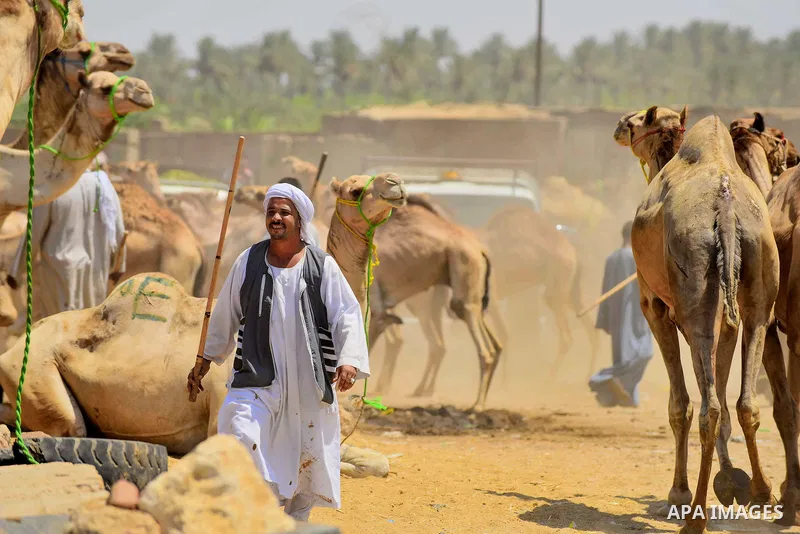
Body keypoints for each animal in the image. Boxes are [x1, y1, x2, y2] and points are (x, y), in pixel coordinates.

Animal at [620, 106, 800, 531]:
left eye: (635, 122)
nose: (619, 126)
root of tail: (726, 206)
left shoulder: (654, 306)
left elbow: (680, 404)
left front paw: (679, 494)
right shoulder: (731, 317)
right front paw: (734, 481)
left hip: (695, 282)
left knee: (709, 409)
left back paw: (695, 516)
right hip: (757, 284)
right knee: (747, 402)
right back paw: (764, 492)